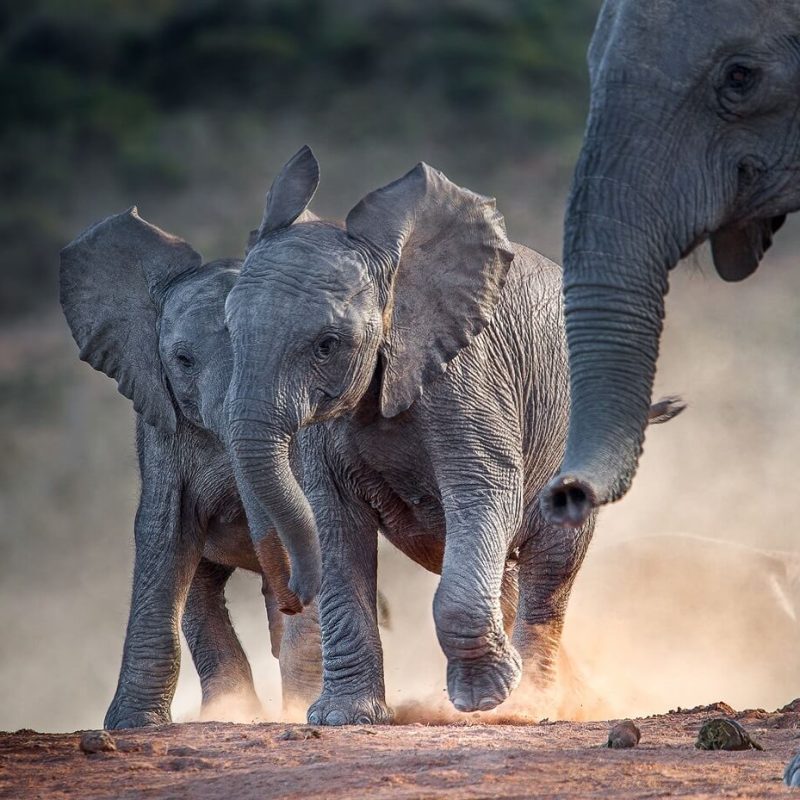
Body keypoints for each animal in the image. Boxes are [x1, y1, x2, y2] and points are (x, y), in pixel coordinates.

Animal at [60, 208, 322, 729]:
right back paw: (231, 708)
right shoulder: (159, 423)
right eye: (182, 359)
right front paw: (132, 726)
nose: (293, 594)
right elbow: (164, 532)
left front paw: (304, 707)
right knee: (200, 591)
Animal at [223, 146, 683, 724]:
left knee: (548, 570)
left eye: (327, 344)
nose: (290, 594)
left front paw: (484, 700)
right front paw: (343, 719)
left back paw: (531, 704)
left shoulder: (468, 377)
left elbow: (483, 492)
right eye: (228, 331)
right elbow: (335, 524)